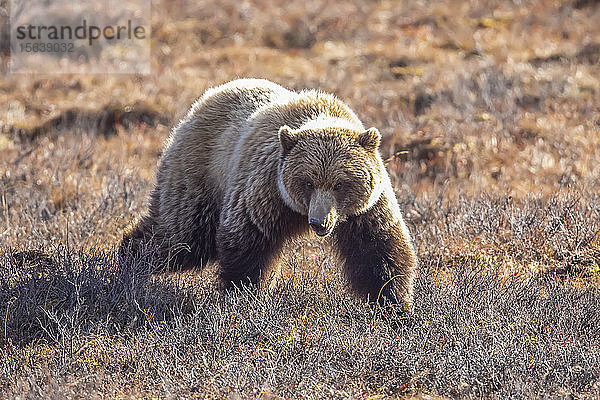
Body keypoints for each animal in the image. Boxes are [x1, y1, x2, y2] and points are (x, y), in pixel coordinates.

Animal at [119, 77, 414, 310]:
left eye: (340, 184)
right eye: (307, 182)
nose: (319, 222)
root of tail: (203, 100)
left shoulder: (366, 209)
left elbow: (379, 249)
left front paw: (395, 304)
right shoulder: (265, 190)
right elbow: (248, 242)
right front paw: (244, 296)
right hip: (201, 173)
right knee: (181, 236)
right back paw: (129, 261)